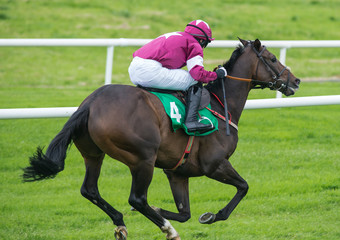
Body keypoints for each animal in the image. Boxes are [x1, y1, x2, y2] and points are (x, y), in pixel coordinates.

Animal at [23, 38, 300, 239]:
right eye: (273, 58)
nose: (295, 81)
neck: (221, 105)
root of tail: (91, 102)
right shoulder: (214, 164)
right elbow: (243, 187)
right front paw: (211, 215)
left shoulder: (177, 172)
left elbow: (185, 212)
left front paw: (164, 212)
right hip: (142, 158)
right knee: (136, 198)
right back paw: (167, 229)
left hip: (93, 153)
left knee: (89, 189)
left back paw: (121, 223)